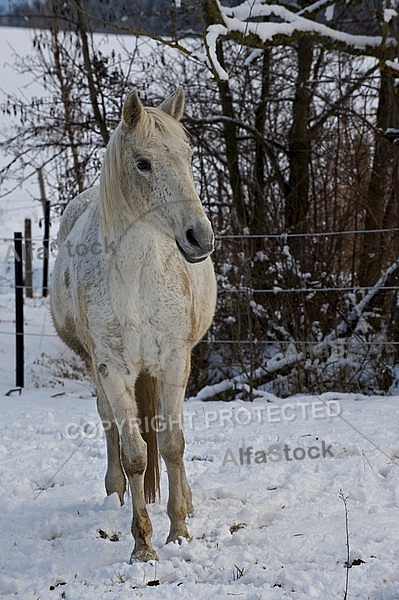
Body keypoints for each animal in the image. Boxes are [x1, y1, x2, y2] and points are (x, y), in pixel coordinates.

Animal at [52, 86, 219, 560]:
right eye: (143, 163)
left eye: (188, 154)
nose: (200, 237)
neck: (138, 278)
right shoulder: (112, 369)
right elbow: (135, 455)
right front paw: (143, 546)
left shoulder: (175, 361)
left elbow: (173, 445)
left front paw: (179, 531)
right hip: (96, 368)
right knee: (109, 423)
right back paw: (115, 495)